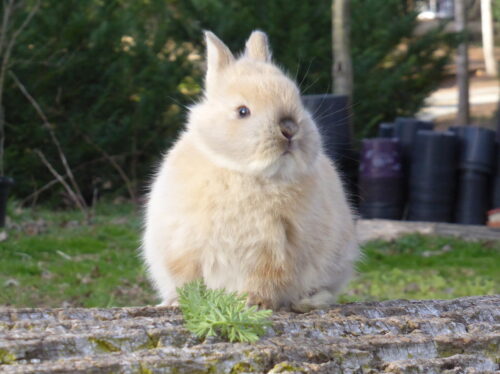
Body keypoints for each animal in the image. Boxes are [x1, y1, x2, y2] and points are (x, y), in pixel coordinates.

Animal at [142, 29, 360, 312]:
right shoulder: (182, 245)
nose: (289, 129)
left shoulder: (277, 250)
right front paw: (181, 302)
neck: (245, 173)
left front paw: (253, 303)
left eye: (298, 100)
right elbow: (188, 278)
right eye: (242, 111)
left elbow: (266, 280)